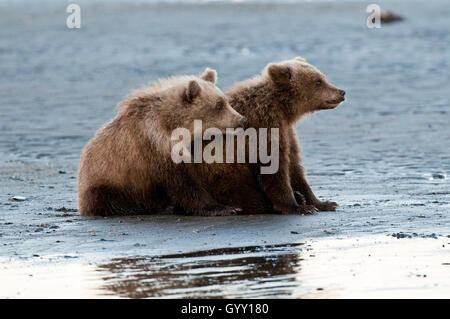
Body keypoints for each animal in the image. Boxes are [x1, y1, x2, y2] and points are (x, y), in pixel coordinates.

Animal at [78, 69, 246, 216]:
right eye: (219, 104)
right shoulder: (154, 145)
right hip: (107, 180)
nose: (242, 119)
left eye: (225, 101)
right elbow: (183, 184)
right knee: (112, 200)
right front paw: (226, 208)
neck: (172, 124)